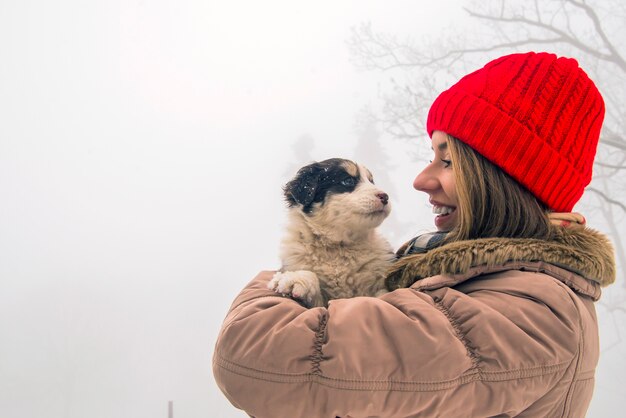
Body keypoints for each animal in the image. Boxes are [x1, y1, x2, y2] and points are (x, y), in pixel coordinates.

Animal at [266, 157, 392, 306]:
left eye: (371, 181)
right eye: (348, 181)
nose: (385, 196)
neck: (339, 246)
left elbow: (383, 295)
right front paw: (295, 280)